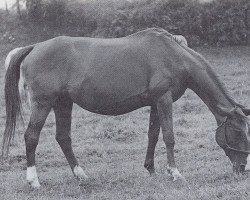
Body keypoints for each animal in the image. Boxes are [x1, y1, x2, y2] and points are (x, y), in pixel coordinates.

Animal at [1, 27, 250, 188]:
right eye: (238, 131)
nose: (243, 168)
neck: (173, 56)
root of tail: (34, 47)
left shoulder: (155, 103)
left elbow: (153, 136)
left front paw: (151, 169)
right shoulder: (164, 100)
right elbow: (169, 136)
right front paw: (175, 173)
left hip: (63, 103)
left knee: (63, 138)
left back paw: (81, 176)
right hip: (43, 103)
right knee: (31, 137)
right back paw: (34, 181)